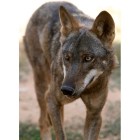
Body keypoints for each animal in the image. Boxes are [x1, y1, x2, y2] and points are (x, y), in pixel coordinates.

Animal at [23, 1, 117, 140]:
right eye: (67, 57)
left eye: (88, 58)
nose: (66, 89)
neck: (85, 90)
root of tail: (45, 4)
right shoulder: (51, 99)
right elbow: (61, 135)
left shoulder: (95, 115)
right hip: (43, 87)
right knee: (43, 122)